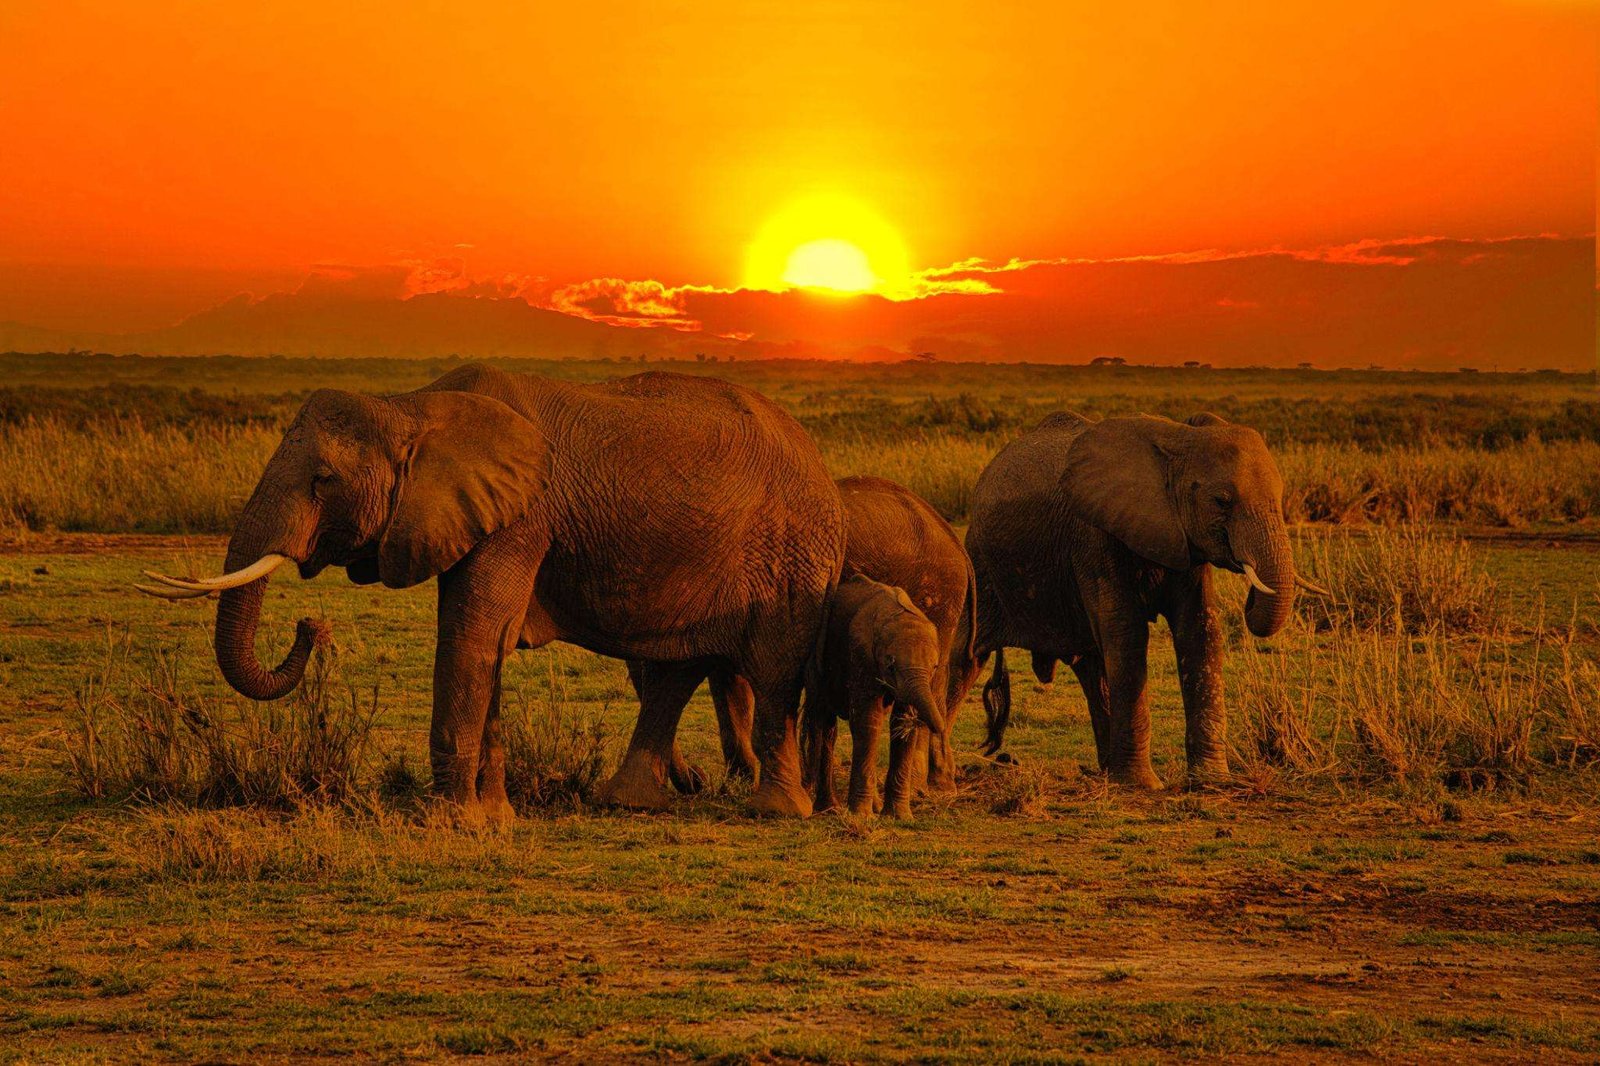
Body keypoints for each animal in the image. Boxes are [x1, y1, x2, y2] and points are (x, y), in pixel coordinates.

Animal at [140, 361, 851, 816]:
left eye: (322, 480)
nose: (311, 628)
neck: (413, 407)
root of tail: (818, 457)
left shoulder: (520, 516)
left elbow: (472, 635)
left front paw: (454, 821)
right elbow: (486, 643)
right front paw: (494, 817)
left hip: (792, 555)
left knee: (772, 670)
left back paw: (777, 812)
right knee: (680, 668)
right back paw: (629, 802)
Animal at [806, 573, 940, 813]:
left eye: (935, 667)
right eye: (890, 666)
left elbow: (901, 722)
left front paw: (899, 816)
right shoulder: (861, 654)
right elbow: (868, 720)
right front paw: (861, 815)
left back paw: (874, 806)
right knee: (824, 725)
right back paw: (829, 808)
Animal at [966, 409, 1305, 784]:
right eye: (1221, 501)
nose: (1250, 590)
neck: (1176, 441)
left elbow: (1200, 631)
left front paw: (1211, 780)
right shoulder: (1095, 535)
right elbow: (1126, 633)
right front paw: (1142, 785)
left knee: (1091, 670)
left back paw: (1105, 772)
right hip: (980, 567)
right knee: (964, 658)